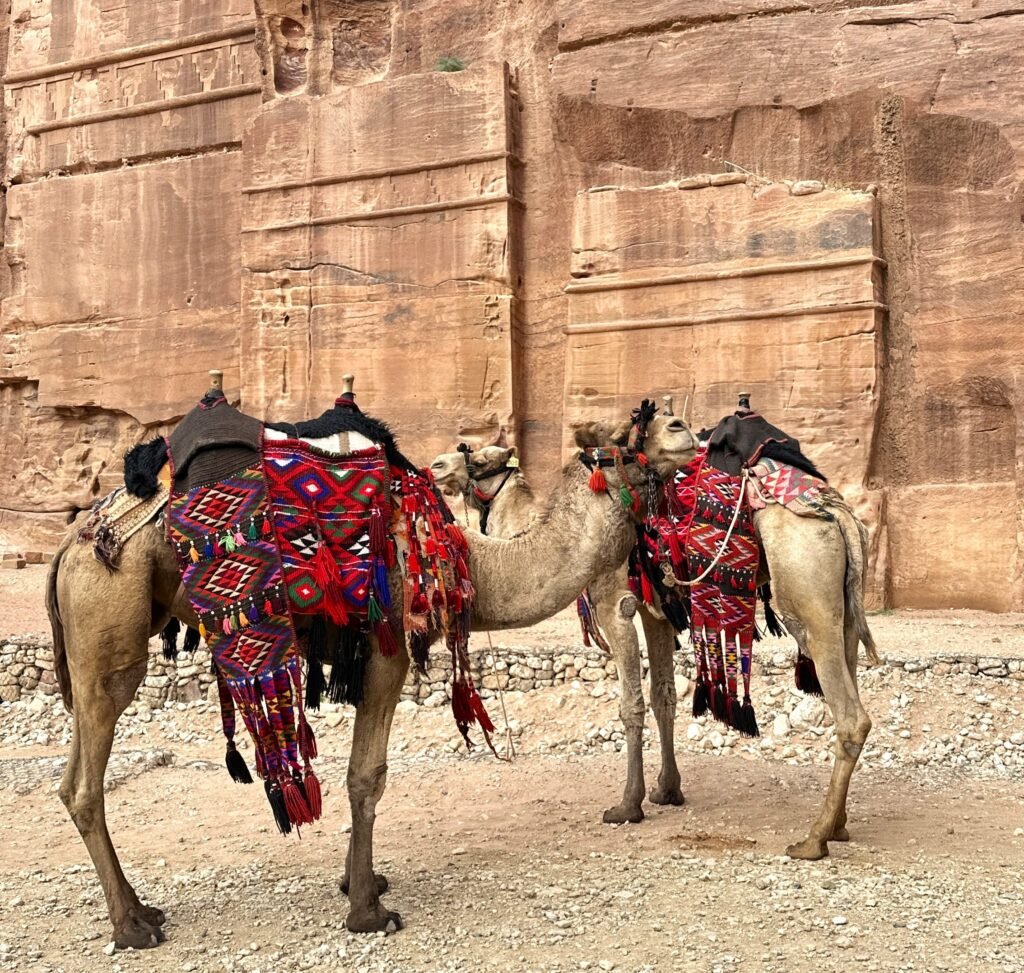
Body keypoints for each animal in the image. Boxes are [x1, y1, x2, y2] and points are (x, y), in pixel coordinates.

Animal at [430, 444, 685, 825]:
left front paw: (628, 805)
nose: (436, 465)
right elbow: (662, 694)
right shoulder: (656, 609)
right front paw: (667, 790)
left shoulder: (616, 604)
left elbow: (631, 704)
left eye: (479, 461)